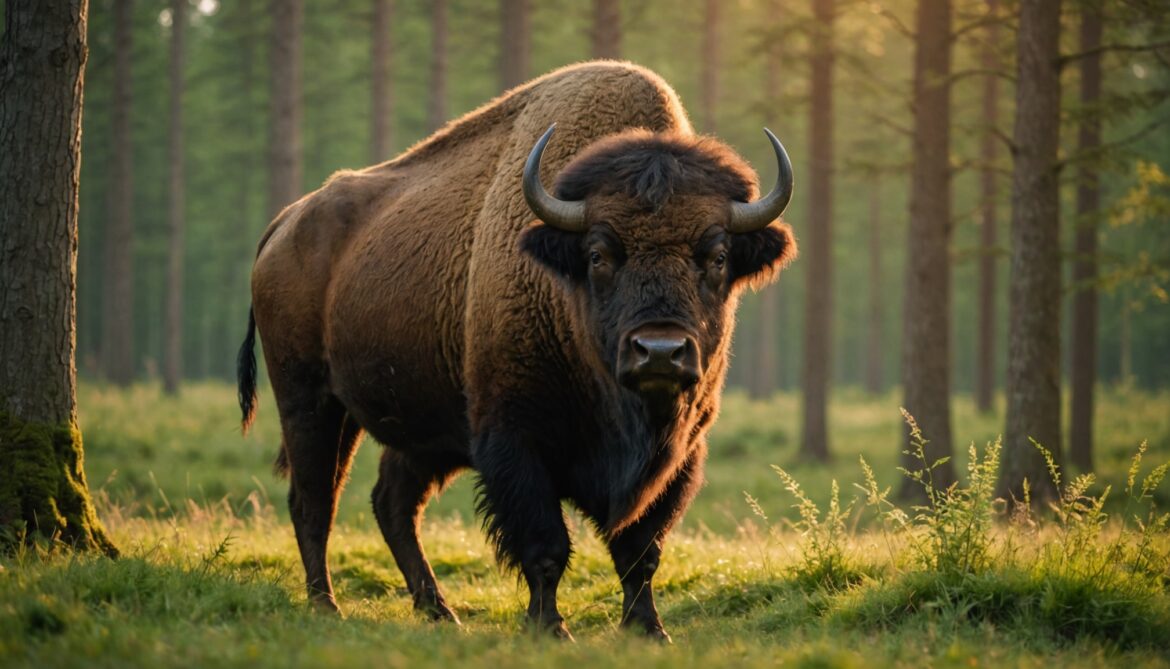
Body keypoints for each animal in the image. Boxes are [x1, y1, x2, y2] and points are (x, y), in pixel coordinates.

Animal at [237, 61, 797, 641]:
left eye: (717, 256)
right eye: (598, 254)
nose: (659, 351)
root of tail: (285, 224)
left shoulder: (680, 455)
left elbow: (641, 551)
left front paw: (648, 630)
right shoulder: (514, 440)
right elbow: (546, 544)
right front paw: (550, 627)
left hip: (418, 430)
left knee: (391, 504)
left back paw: (439, 610)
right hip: (311, 401)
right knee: (314, 501)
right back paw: (327, 606)